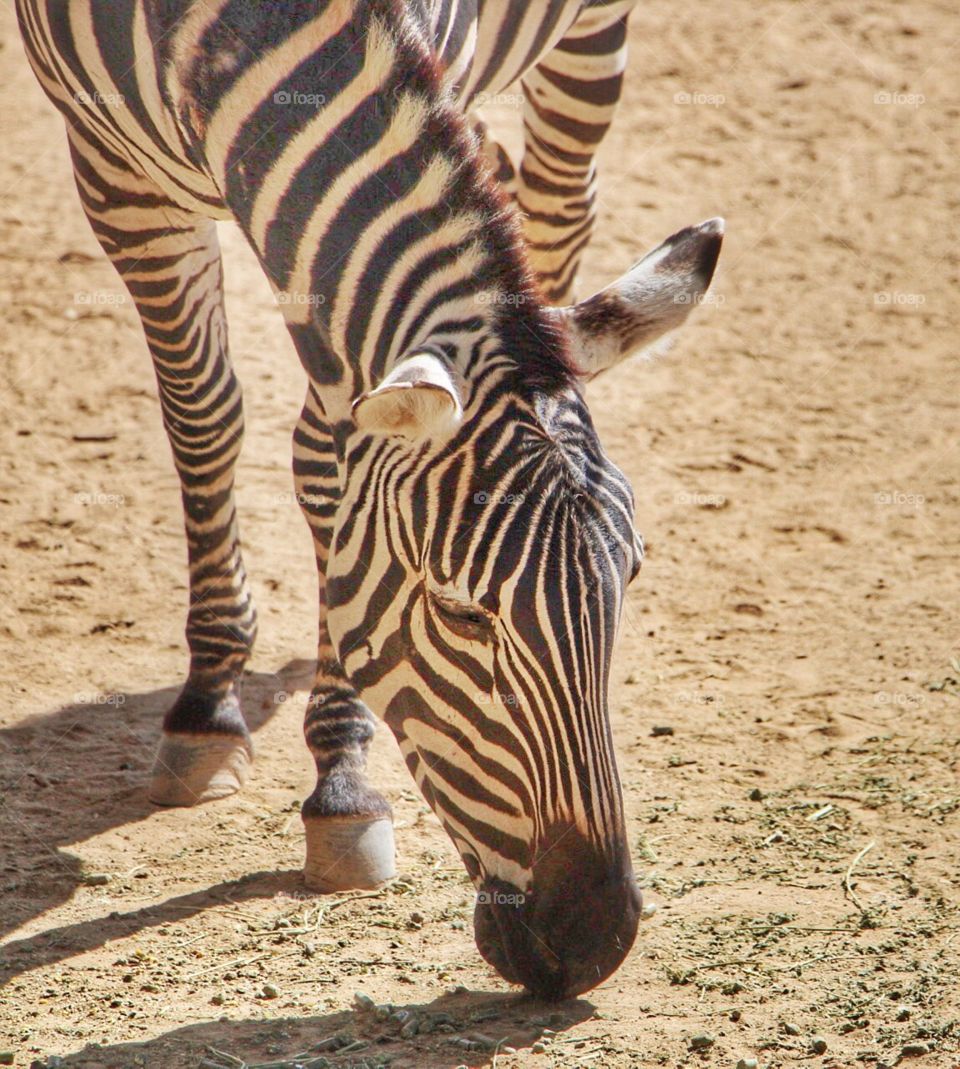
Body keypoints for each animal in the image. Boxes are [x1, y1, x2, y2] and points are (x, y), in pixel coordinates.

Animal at [16, 0, 723, 999]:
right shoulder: (115, 171)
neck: (246, 30)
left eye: (630, 580)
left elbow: (327, 456)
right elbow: (203, 415)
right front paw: (209, 703)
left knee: (556, 204)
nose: (597, 940)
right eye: (460, 613)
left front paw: (341, 780)